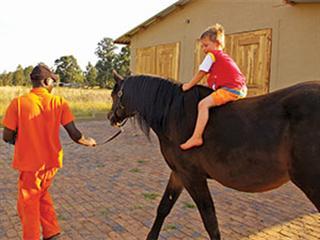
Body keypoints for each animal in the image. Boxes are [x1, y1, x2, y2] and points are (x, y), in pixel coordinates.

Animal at [108, 74, 320, 239]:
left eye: (114, 95)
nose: (111, 118)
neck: (174, 115)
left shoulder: (193, 178)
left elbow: (210, 221)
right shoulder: (178, 174)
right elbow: (163, 208)